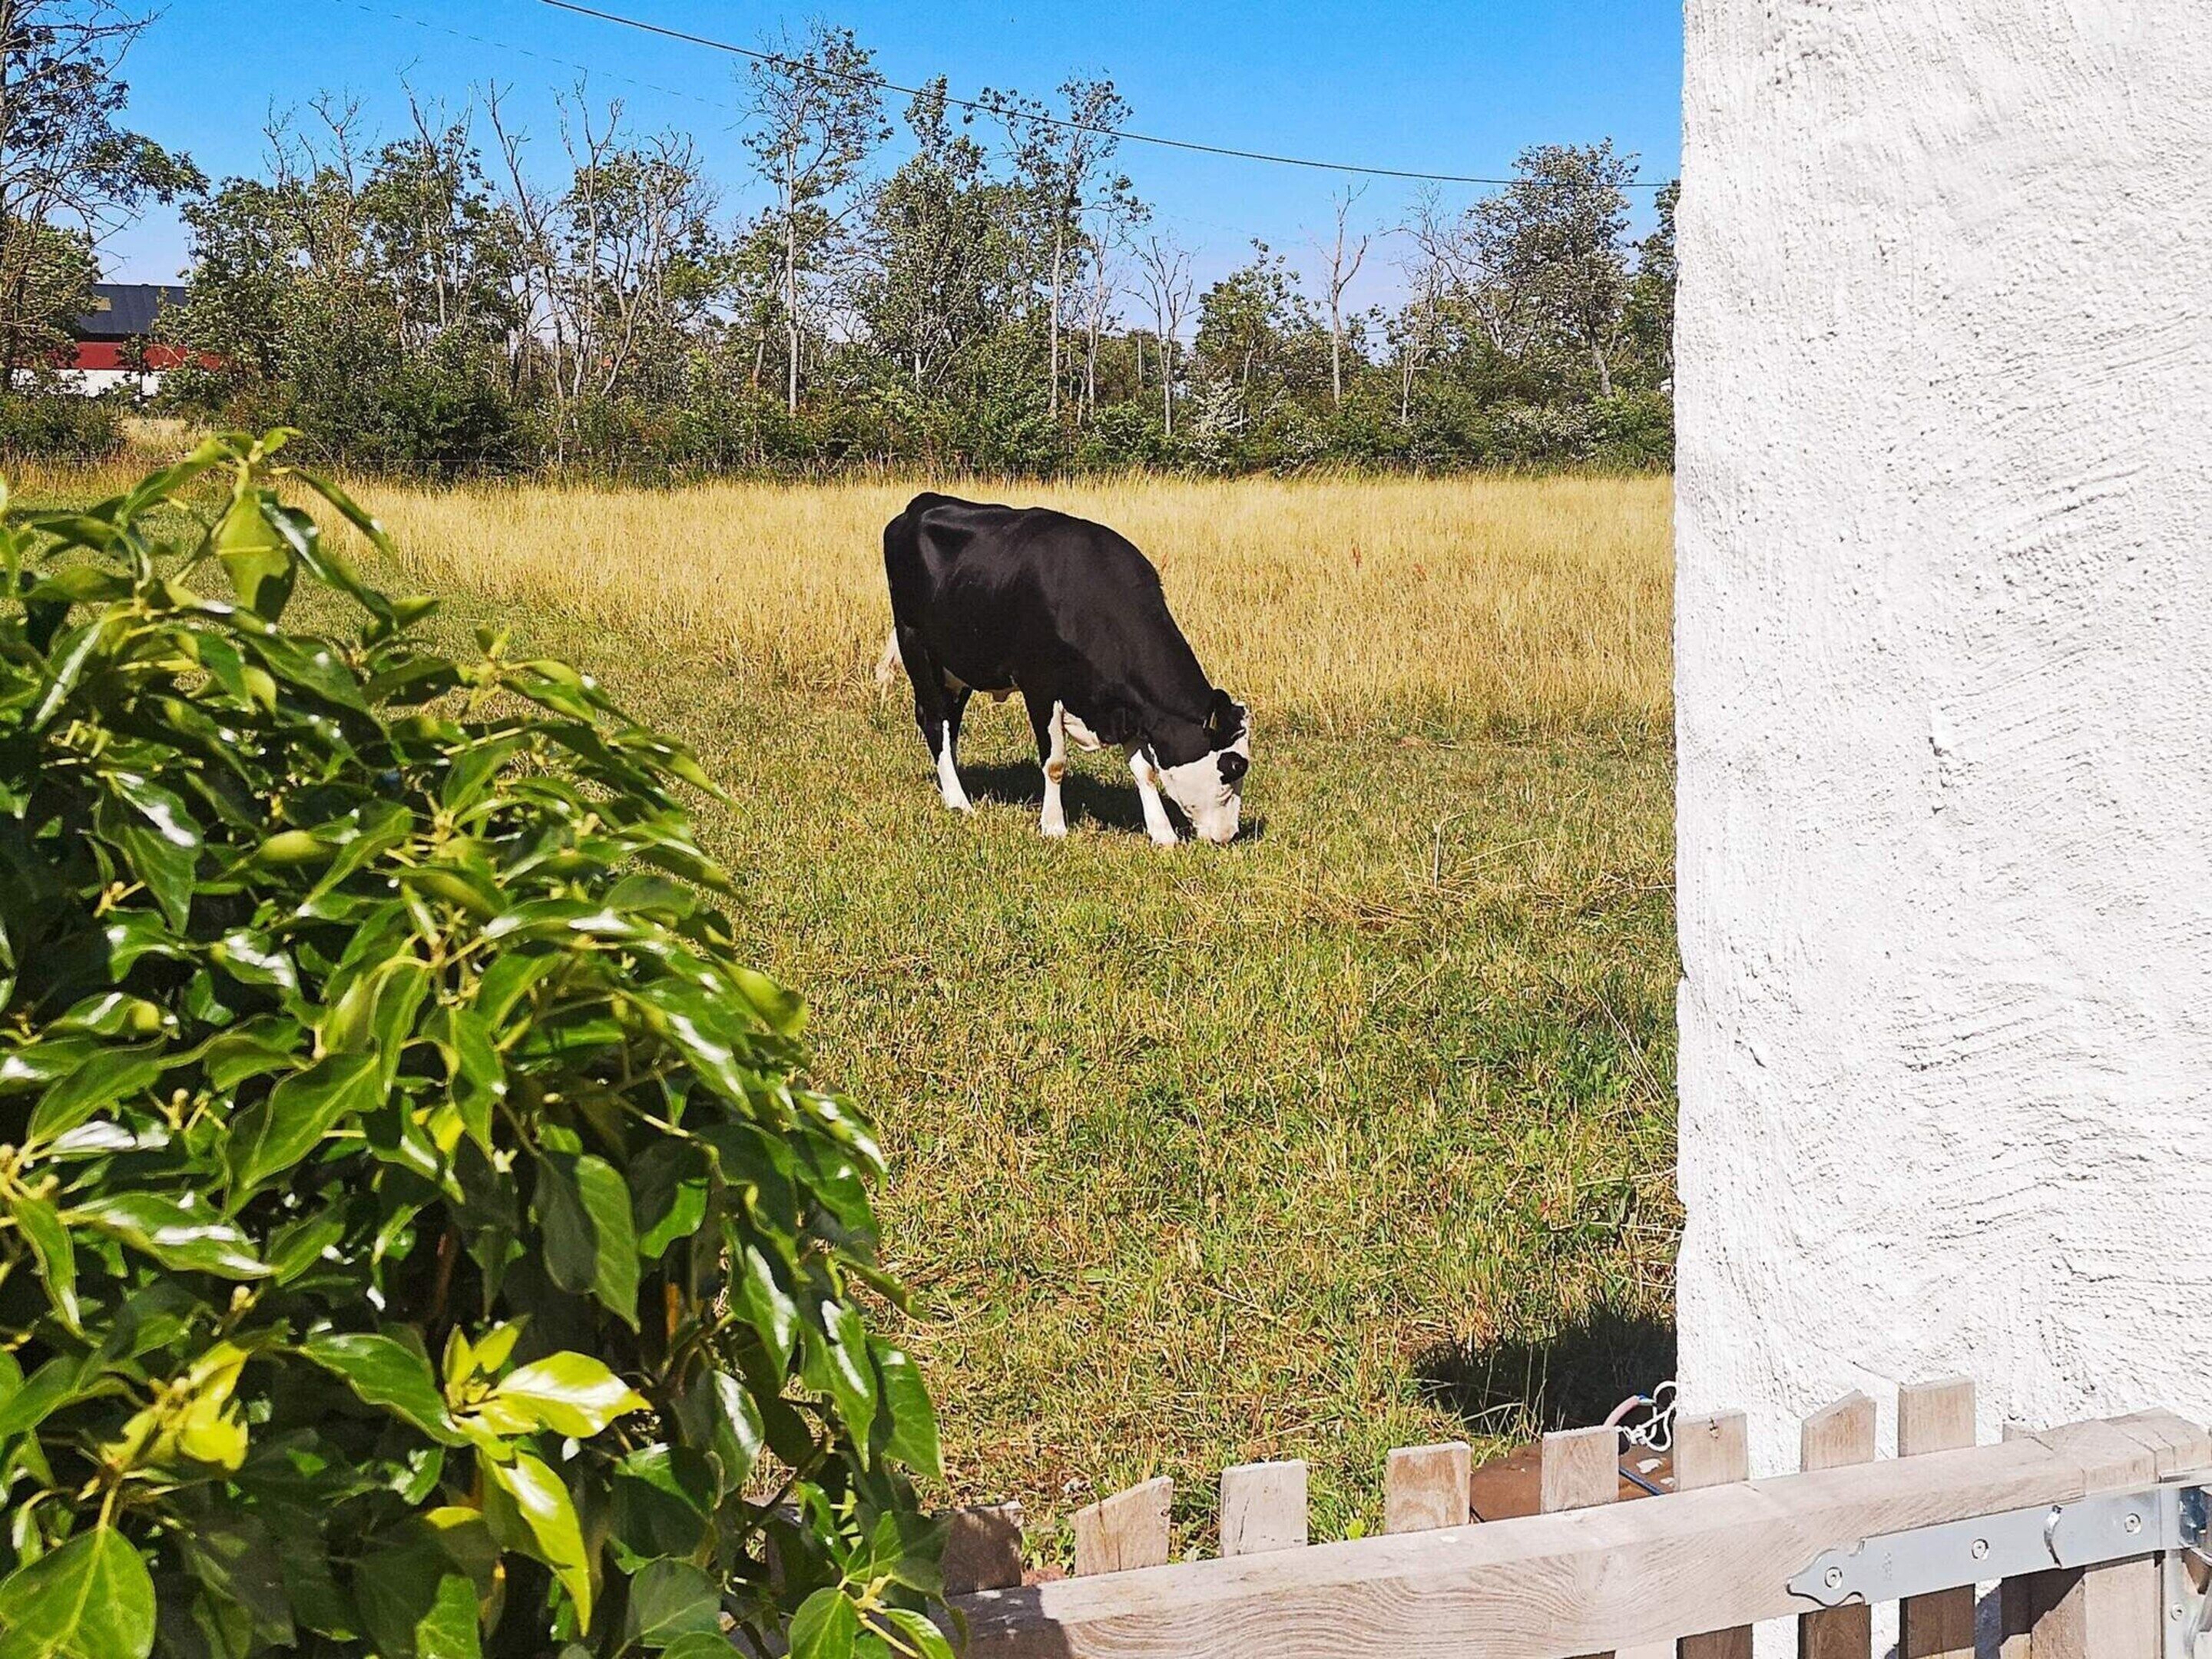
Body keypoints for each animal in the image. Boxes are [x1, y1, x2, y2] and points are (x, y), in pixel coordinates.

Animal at [881, 492, 1251, 845]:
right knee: (933, 719)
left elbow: (1145, 770)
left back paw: (952, 784)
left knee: (949, 723)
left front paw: (1162, 833)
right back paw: (959, 801)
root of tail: (919, 505)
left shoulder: (1128, 705)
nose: (1228, 835)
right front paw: (1053, 825)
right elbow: (1055, 763)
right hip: (917, 646)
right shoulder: (1040, 688)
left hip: (958, 666)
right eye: (1232, 768)